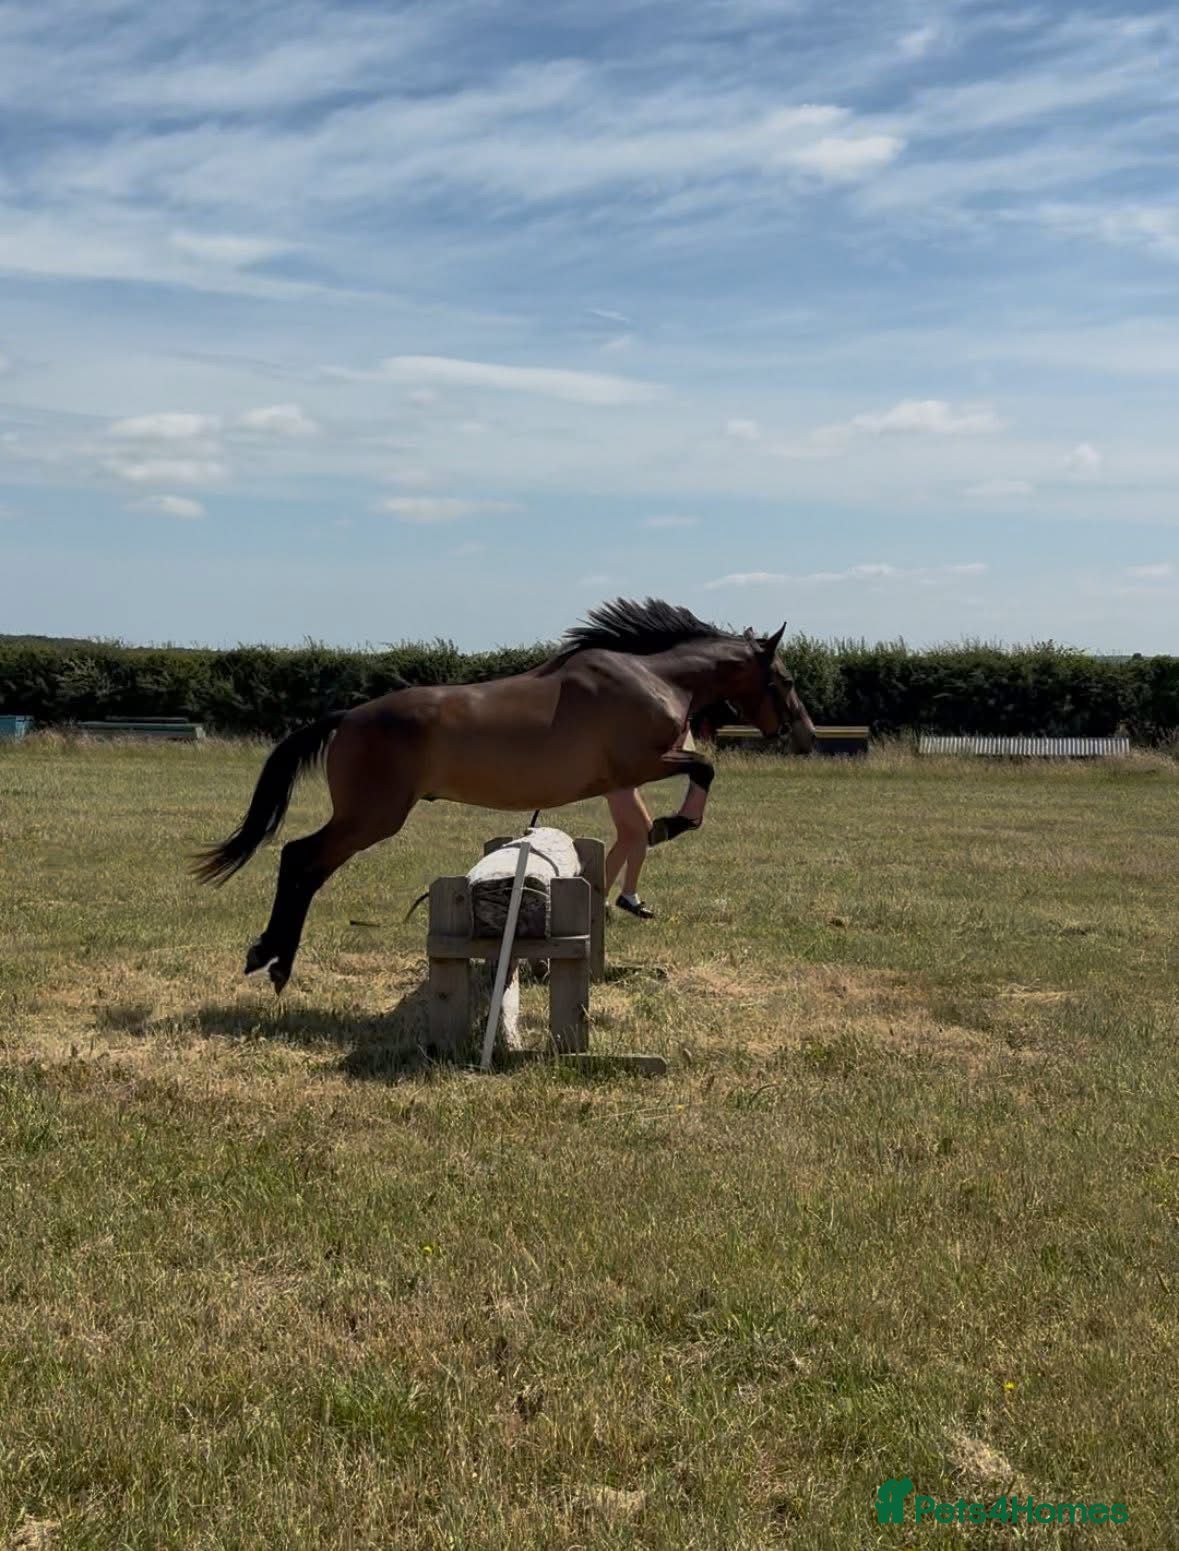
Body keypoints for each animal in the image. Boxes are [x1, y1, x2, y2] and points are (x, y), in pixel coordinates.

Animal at [193, 597, 815, 993]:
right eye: (785, 680)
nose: (804, 734)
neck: (655, 679)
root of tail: (348, 716)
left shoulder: (627, 777)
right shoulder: (642, 764)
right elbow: (704, 770)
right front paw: (673, 824)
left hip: (367, 817)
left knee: (302, 862)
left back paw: (270, 958)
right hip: (371, 817)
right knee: (301, 859)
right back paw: (273, 962)